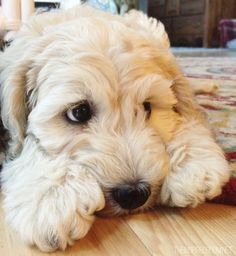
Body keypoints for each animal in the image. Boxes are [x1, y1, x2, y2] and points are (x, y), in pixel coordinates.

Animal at [0, 5, 230, 251]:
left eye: (147, 107)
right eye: (78, 112)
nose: (134, 194)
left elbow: (186, 113)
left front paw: (195, 163)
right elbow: (27, 143)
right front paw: (54, 197)